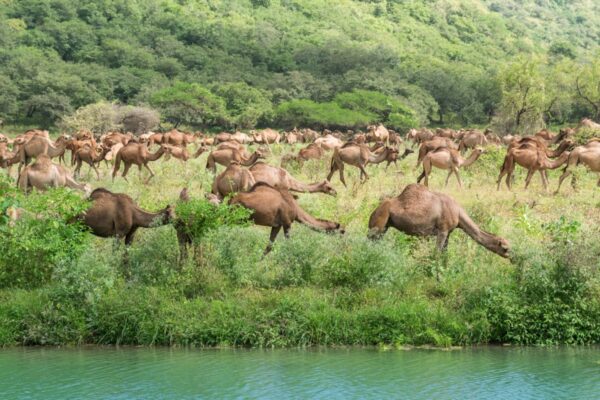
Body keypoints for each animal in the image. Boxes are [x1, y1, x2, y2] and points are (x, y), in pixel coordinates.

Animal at [368, 184, 508, 258]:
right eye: (505, 248)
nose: (511, 257)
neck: (458, 213)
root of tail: (373, 212)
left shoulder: (449, 232)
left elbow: (445, 254)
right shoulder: (443, 230)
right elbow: (437, 254)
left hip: (385, 226)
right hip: (379, 222)